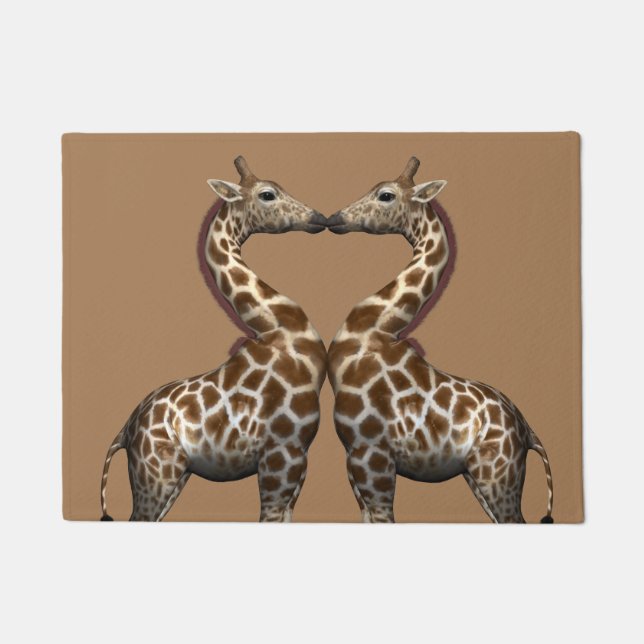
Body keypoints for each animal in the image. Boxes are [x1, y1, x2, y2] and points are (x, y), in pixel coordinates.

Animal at [100, 157, 328, 521]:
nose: (319, 218)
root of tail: (125, 430)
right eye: (267, 194)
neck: (280, 333)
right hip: (156, 472)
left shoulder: (299, 460)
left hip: (175, 476)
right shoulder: (281, 454)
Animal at [325, 157, 554, 524]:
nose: (335, 218)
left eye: (386, 194)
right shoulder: (355, 461)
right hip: (477, 476)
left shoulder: (373, 456)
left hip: (497, 472)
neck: (373, 334)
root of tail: (527, 430)